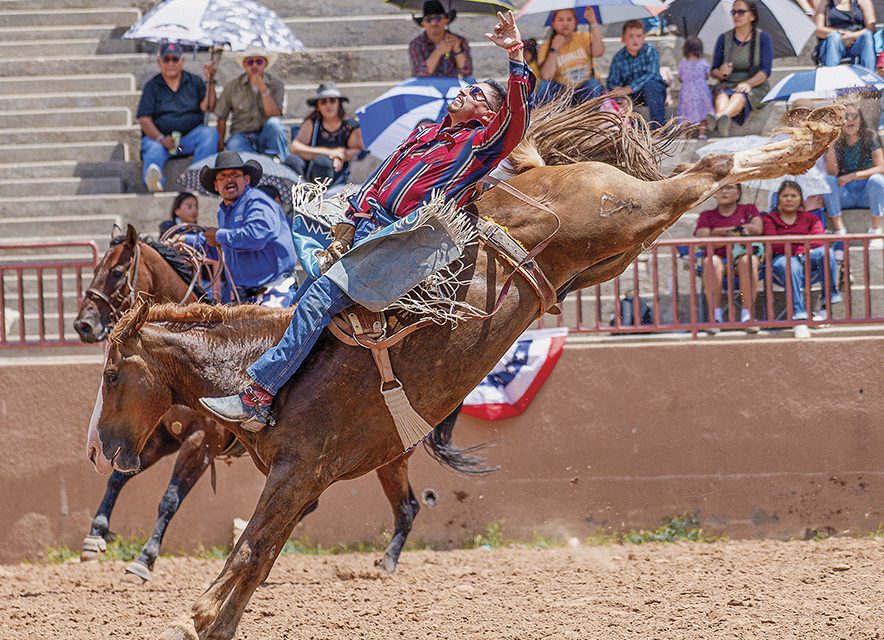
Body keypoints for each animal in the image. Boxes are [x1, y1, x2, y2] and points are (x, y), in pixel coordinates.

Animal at [74, 226, 490, 584]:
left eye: (116, 272)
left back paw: (385, 563)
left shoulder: (200, 444)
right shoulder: (164, 438)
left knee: (408, 507)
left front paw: (143, 561)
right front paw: (95, 536)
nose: (82, 324)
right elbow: (117, 478)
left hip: (390, 459)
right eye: (96, 269)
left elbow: (169, 499)